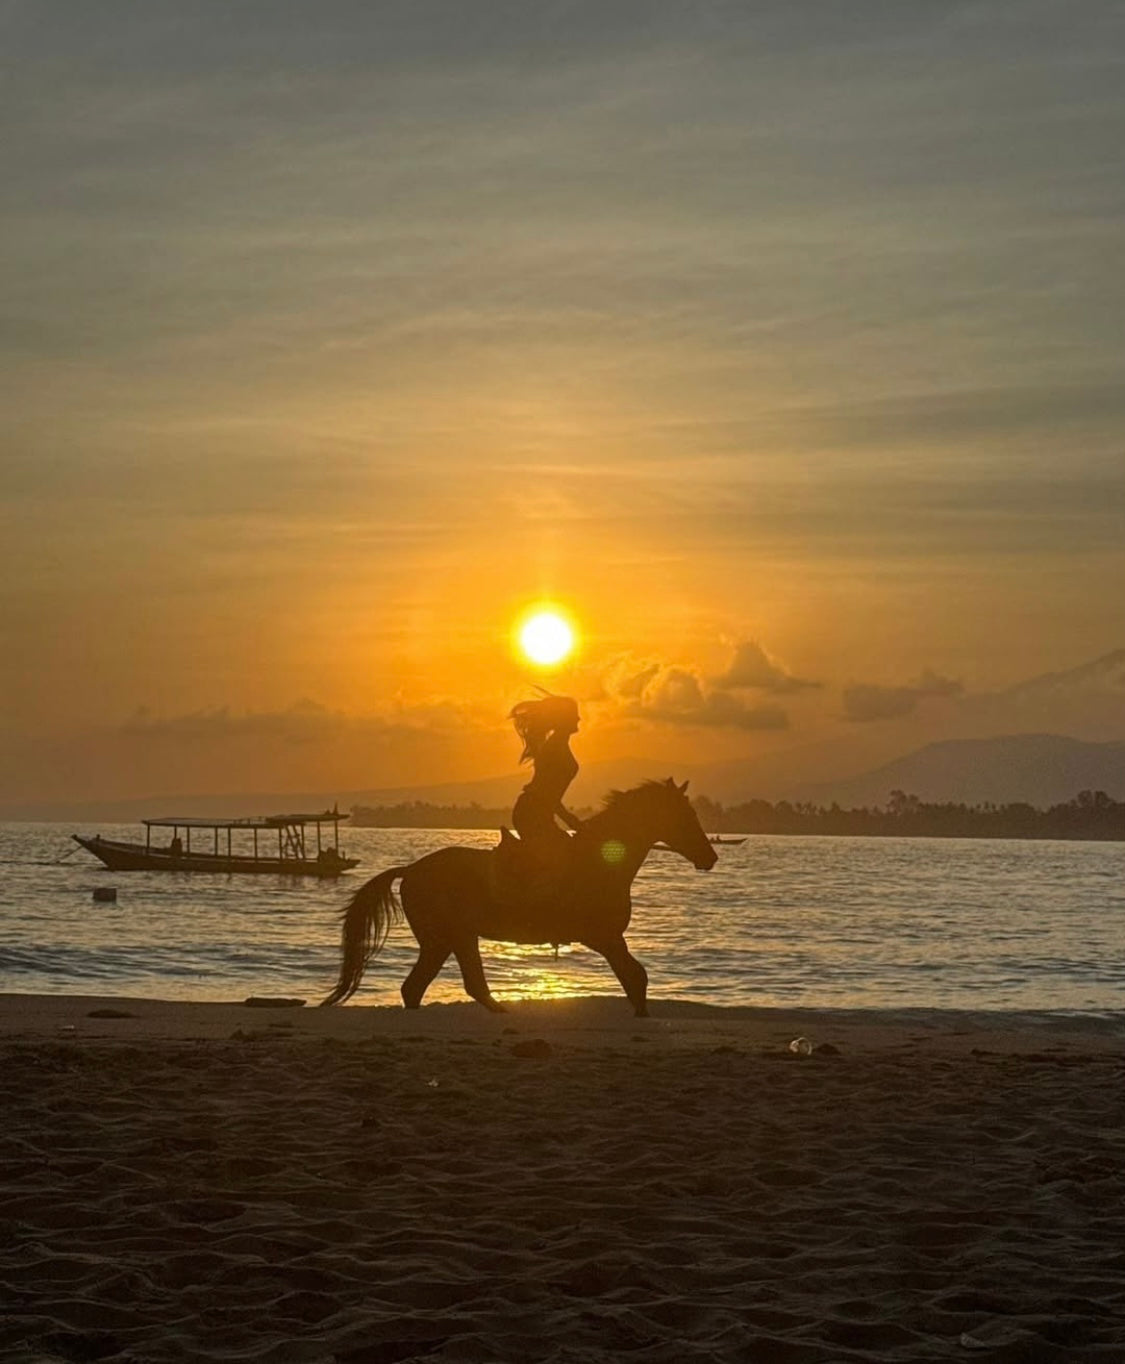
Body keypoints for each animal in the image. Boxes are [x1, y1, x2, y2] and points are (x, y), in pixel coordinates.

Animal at [321, 778, 717, 1017]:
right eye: (685, 815)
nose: (710, 857)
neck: (601, 862)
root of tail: (411, 870)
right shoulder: (603, 937)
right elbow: (637, 975)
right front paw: (642, 1014)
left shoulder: (608, 939)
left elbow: (635, 977)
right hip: (450, 937)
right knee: (449, 984)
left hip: (447, 940)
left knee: (420, 987)